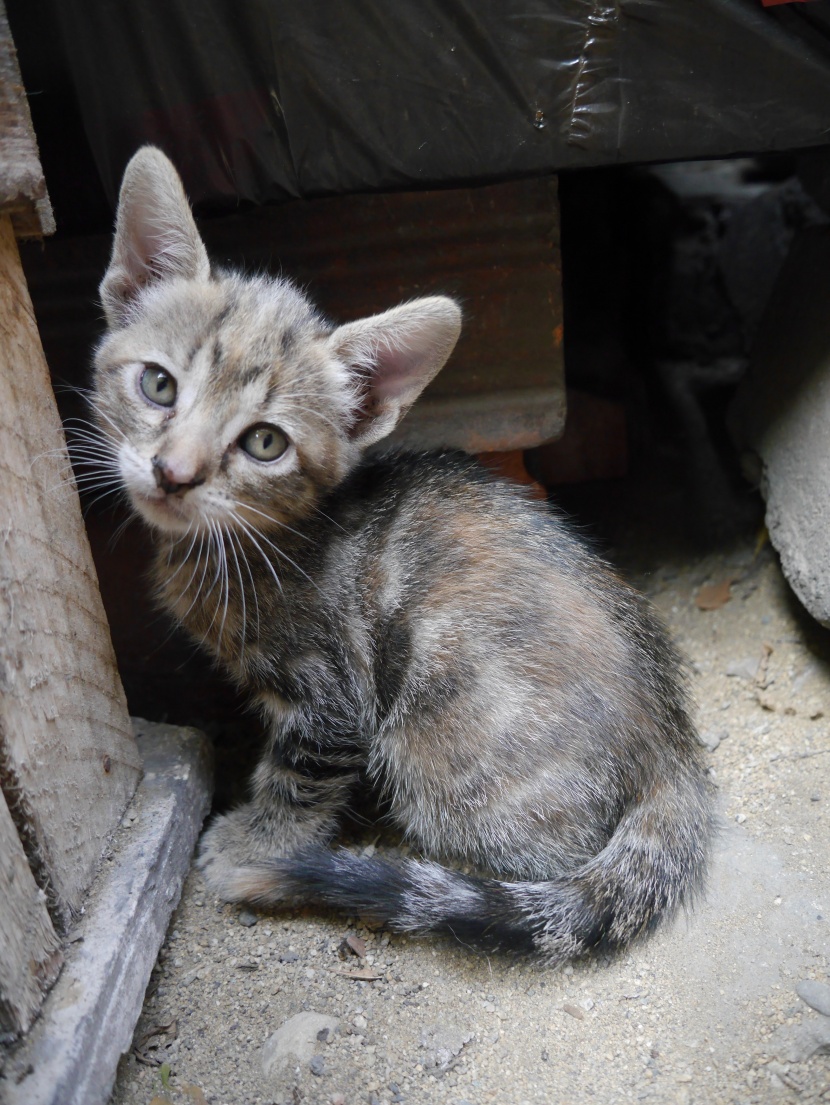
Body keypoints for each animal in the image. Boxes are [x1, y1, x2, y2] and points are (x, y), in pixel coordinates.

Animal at [90, 146, 716, 959]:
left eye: (265, 442)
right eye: (158, 386)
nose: (174, 472)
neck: (252, 541)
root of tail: (673, 747)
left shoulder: (330, 700)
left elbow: (297, 778)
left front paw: (256, 844)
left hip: (442, 750)